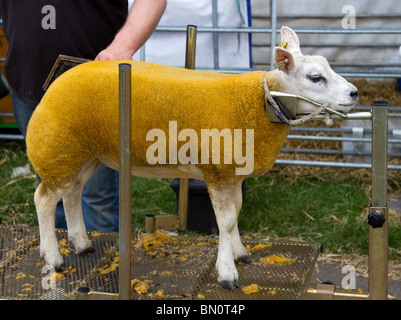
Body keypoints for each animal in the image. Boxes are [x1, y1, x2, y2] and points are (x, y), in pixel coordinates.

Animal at [25, 26, 356, 290]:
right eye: (316, 77)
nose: (354, 93)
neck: (261, 103)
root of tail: (58, 81)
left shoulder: (234, 175)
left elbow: (235, 215)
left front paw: (239, 252)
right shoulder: (219, 173)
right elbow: (225, 221)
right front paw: (227, 272)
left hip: (82, 153)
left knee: (71, 193)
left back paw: (81, 244)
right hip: (58, 149)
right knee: (44, 199)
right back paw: (53, 257)